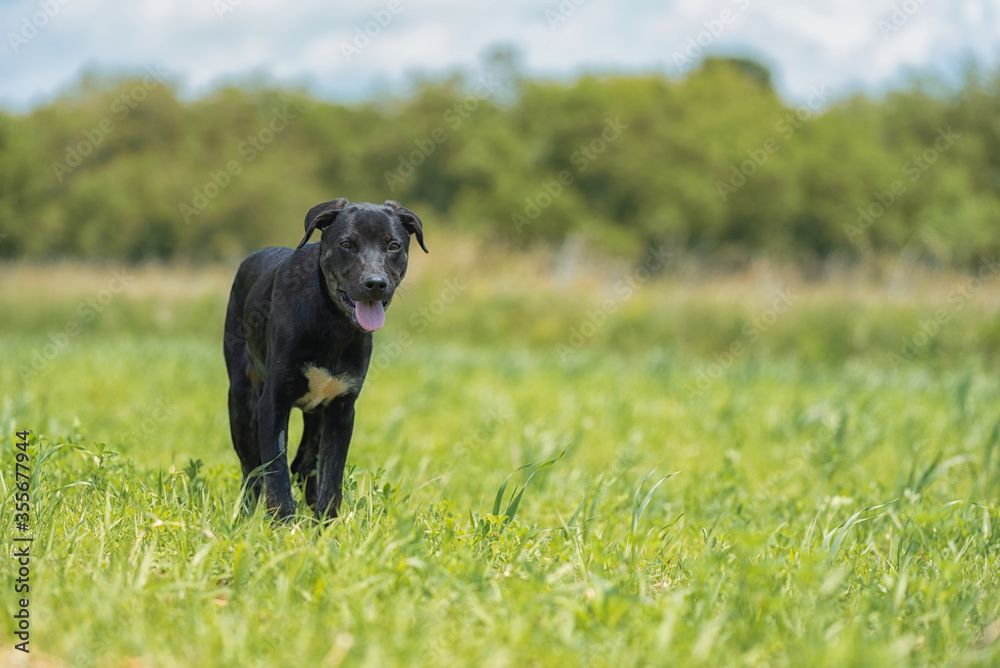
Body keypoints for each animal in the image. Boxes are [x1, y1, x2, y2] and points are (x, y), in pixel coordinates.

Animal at [223, 198, 426, 520]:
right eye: (346, 243)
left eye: (394, 246)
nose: (375, 283)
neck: (333, 323)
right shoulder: (273, 403)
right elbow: (275, 472)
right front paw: (284, 526)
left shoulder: (341, 408)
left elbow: (332, 477)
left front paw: (325, 527)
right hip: (242, 397)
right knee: (251, 469)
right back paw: (244, 517)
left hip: (315, 413)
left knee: (305, 464)